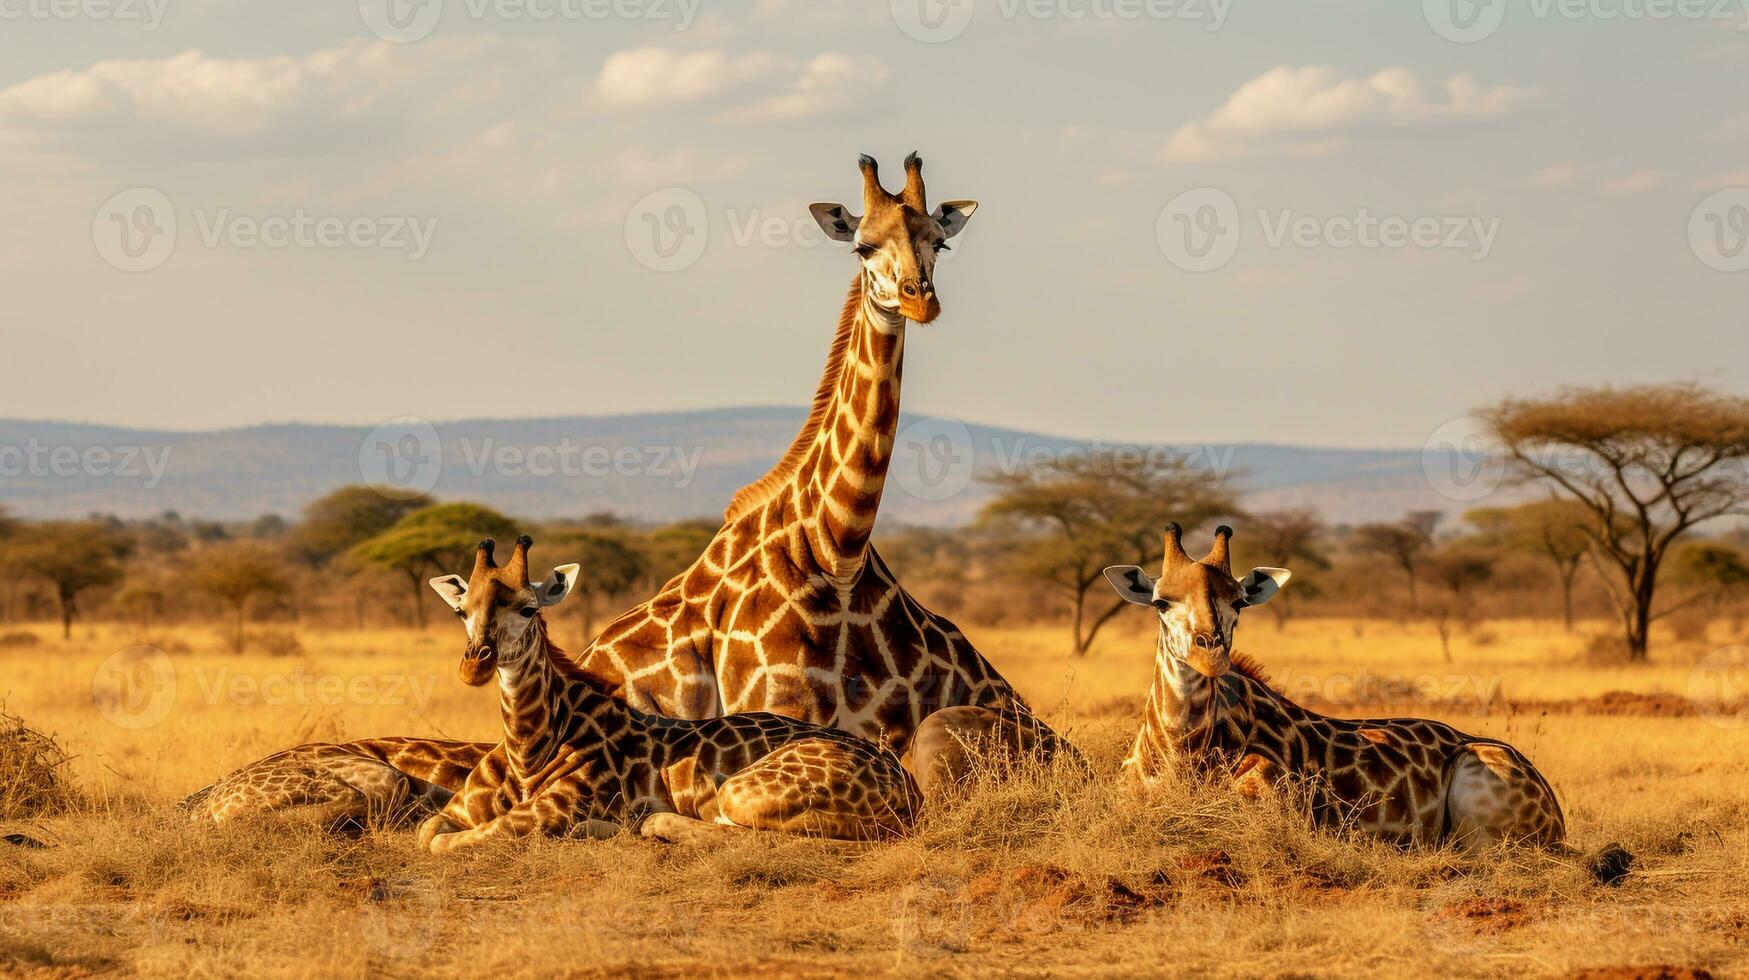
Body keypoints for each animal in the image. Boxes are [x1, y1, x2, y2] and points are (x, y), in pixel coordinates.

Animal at [416, 535, 923, 850]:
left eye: (527, 608)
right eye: (462, 610)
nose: (475, 664)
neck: (530, 748)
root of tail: (909, 786)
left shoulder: (551, 811)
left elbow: (452, 840)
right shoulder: (462, 805)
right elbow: (429, 829)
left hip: (741, 790)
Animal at [1098, 525, 1567, 854]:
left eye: (1239, 601)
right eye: (1162, 602)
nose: (1210, 652)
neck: (1178, 751)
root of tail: (1557, 818)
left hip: (1481, 799)